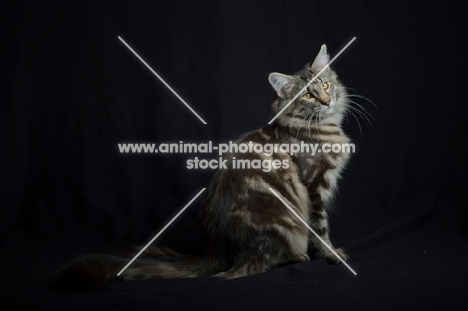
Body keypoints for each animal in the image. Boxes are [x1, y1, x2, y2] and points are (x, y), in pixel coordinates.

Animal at [53, 44, 356, 292]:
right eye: (307, 96)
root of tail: (216, 253)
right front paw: (332, 256)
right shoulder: (313, 186)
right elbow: (320, 230)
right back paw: (297, 256)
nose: (327, 101)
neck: (322, 128)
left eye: (325, 86)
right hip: (285, 222)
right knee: (260, 264)